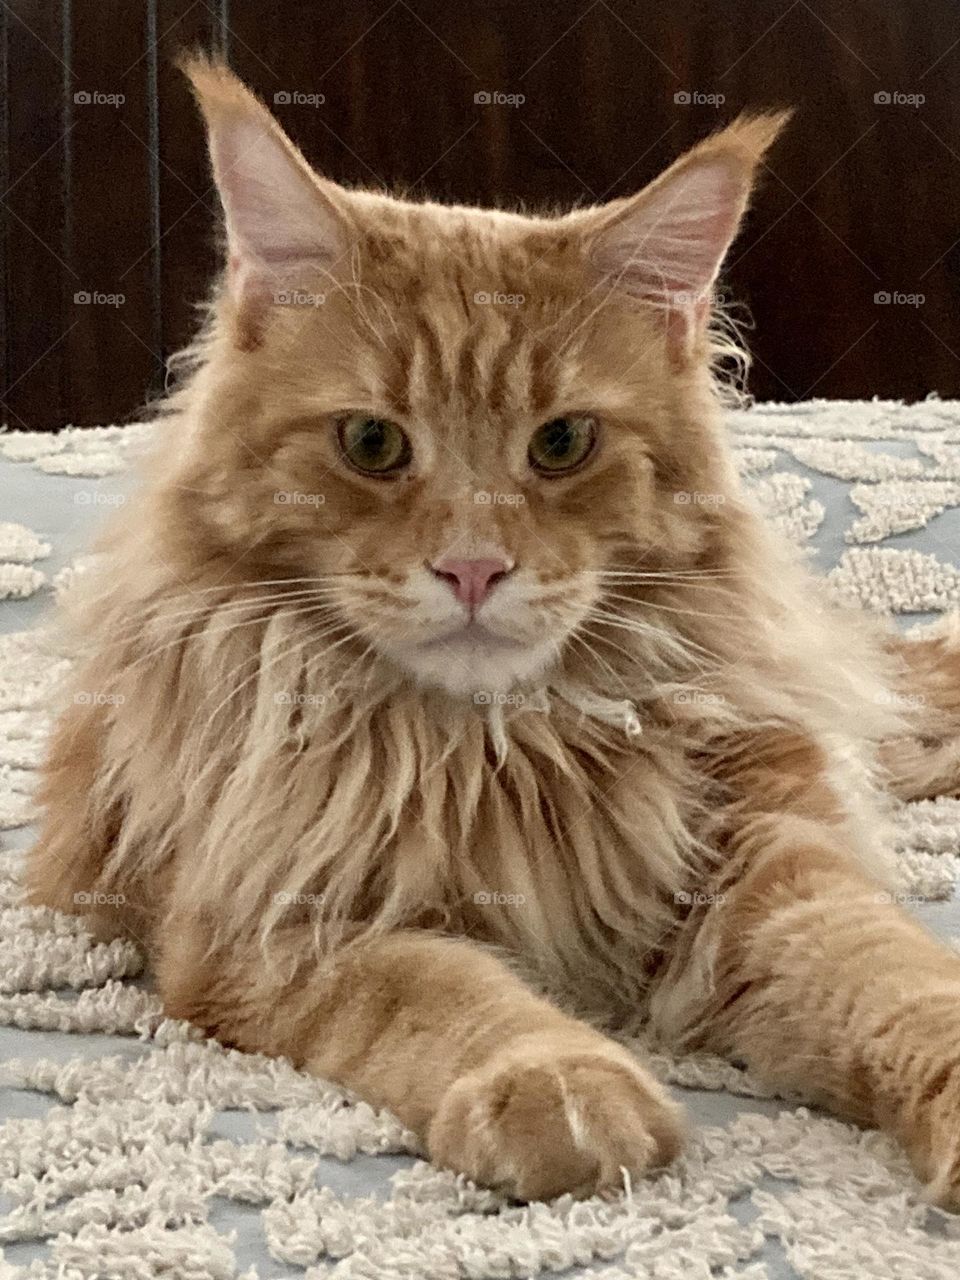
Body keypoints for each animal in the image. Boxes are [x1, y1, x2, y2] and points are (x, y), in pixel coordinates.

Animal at [22, 55, 960, 1203]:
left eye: (561, 444)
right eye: (371, 443)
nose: (473, 566)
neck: (499, 744)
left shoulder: (774, 867)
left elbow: (893, 978)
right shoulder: (269, 920)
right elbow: (440, 988)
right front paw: (557, 1085)